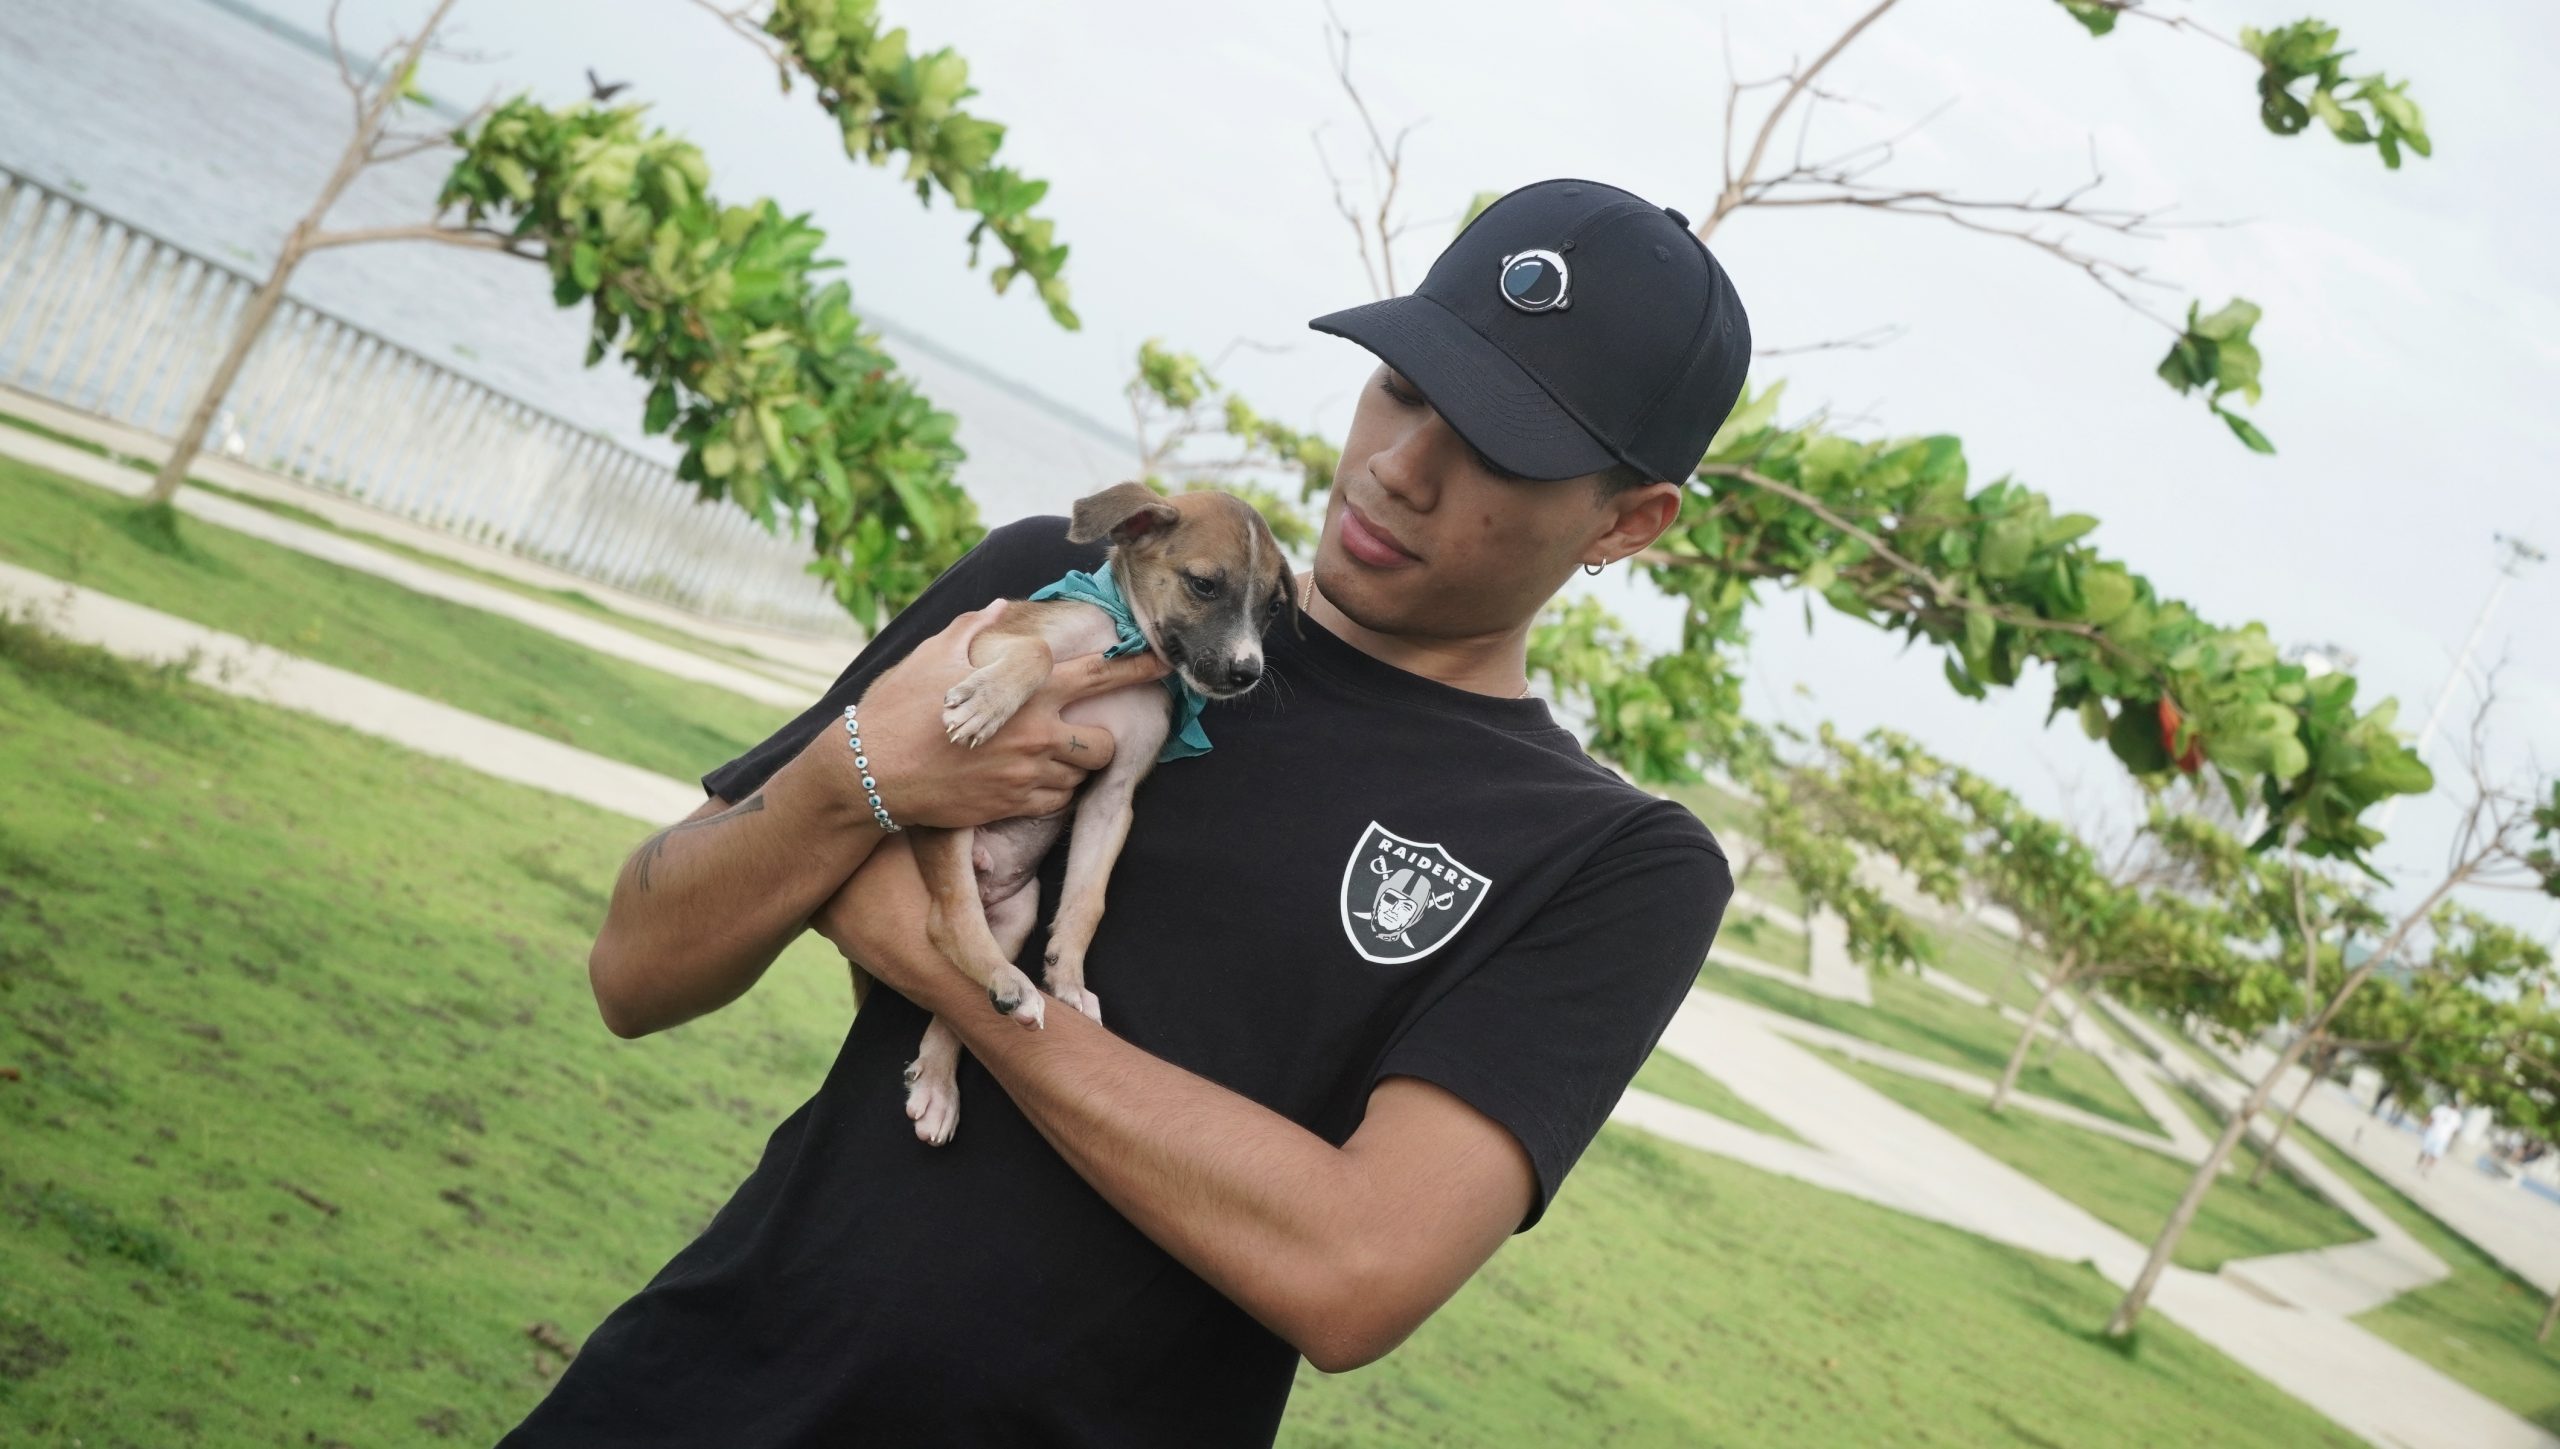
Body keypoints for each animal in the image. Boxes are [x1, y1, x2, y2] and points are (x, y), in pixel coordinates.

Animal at [890, 488, 1290, 1146]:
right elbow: (1037, 649)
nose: (1247, 671)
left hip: (1019, 908)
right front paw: (987, 701)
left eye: (1272, 609)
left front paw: (1069, 979)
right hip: (952, 808)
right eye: (1204, 585)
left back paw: (947, 1073)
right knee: (947, 924)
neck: (1121, 634)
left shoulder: (1114, 796)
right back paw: (1006, 984)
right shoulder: (988, 645)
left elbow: (1086, 902)